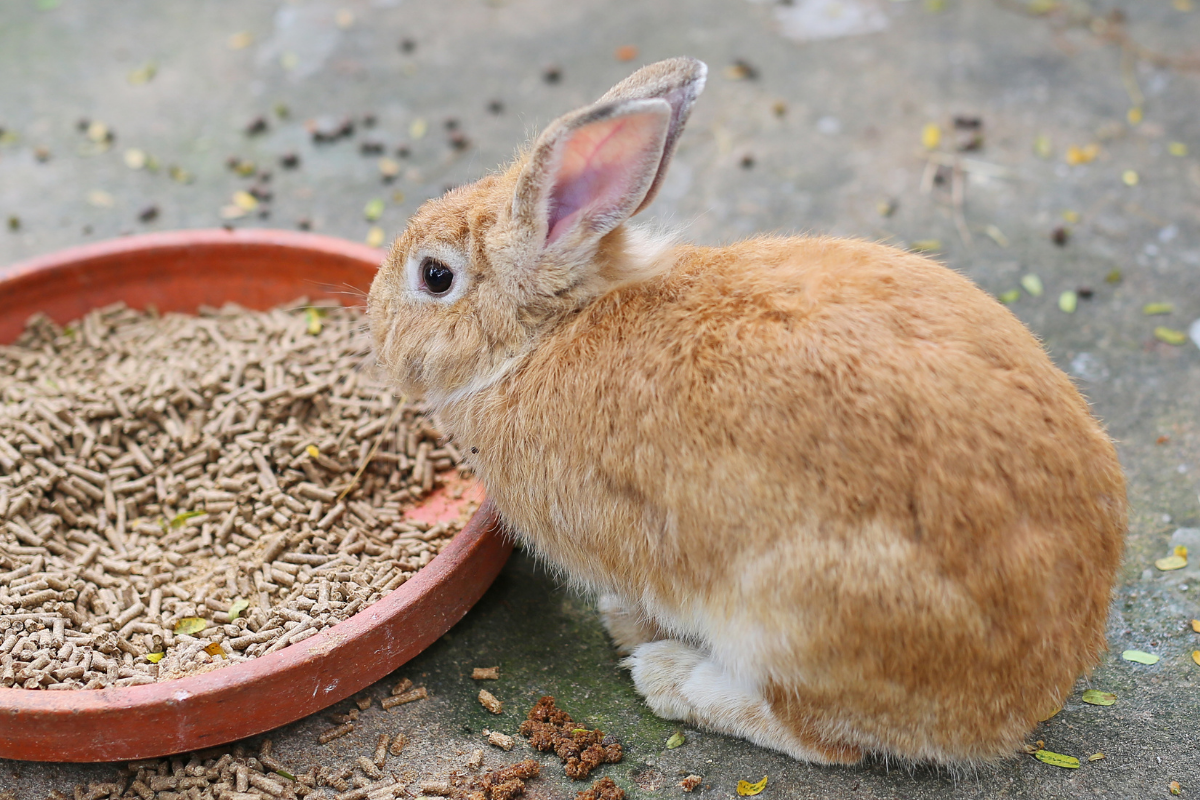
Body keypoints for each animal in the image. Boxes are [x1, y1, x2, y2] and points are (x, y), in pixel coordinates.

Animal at [364, 57, 1123, 767]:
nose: (376, 325)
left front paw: (632, 626)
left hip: (796, 617)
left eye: (435, 276)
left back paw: (670, 678)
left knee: (823, 738)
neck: (543, 335)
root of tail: (1027, 698)